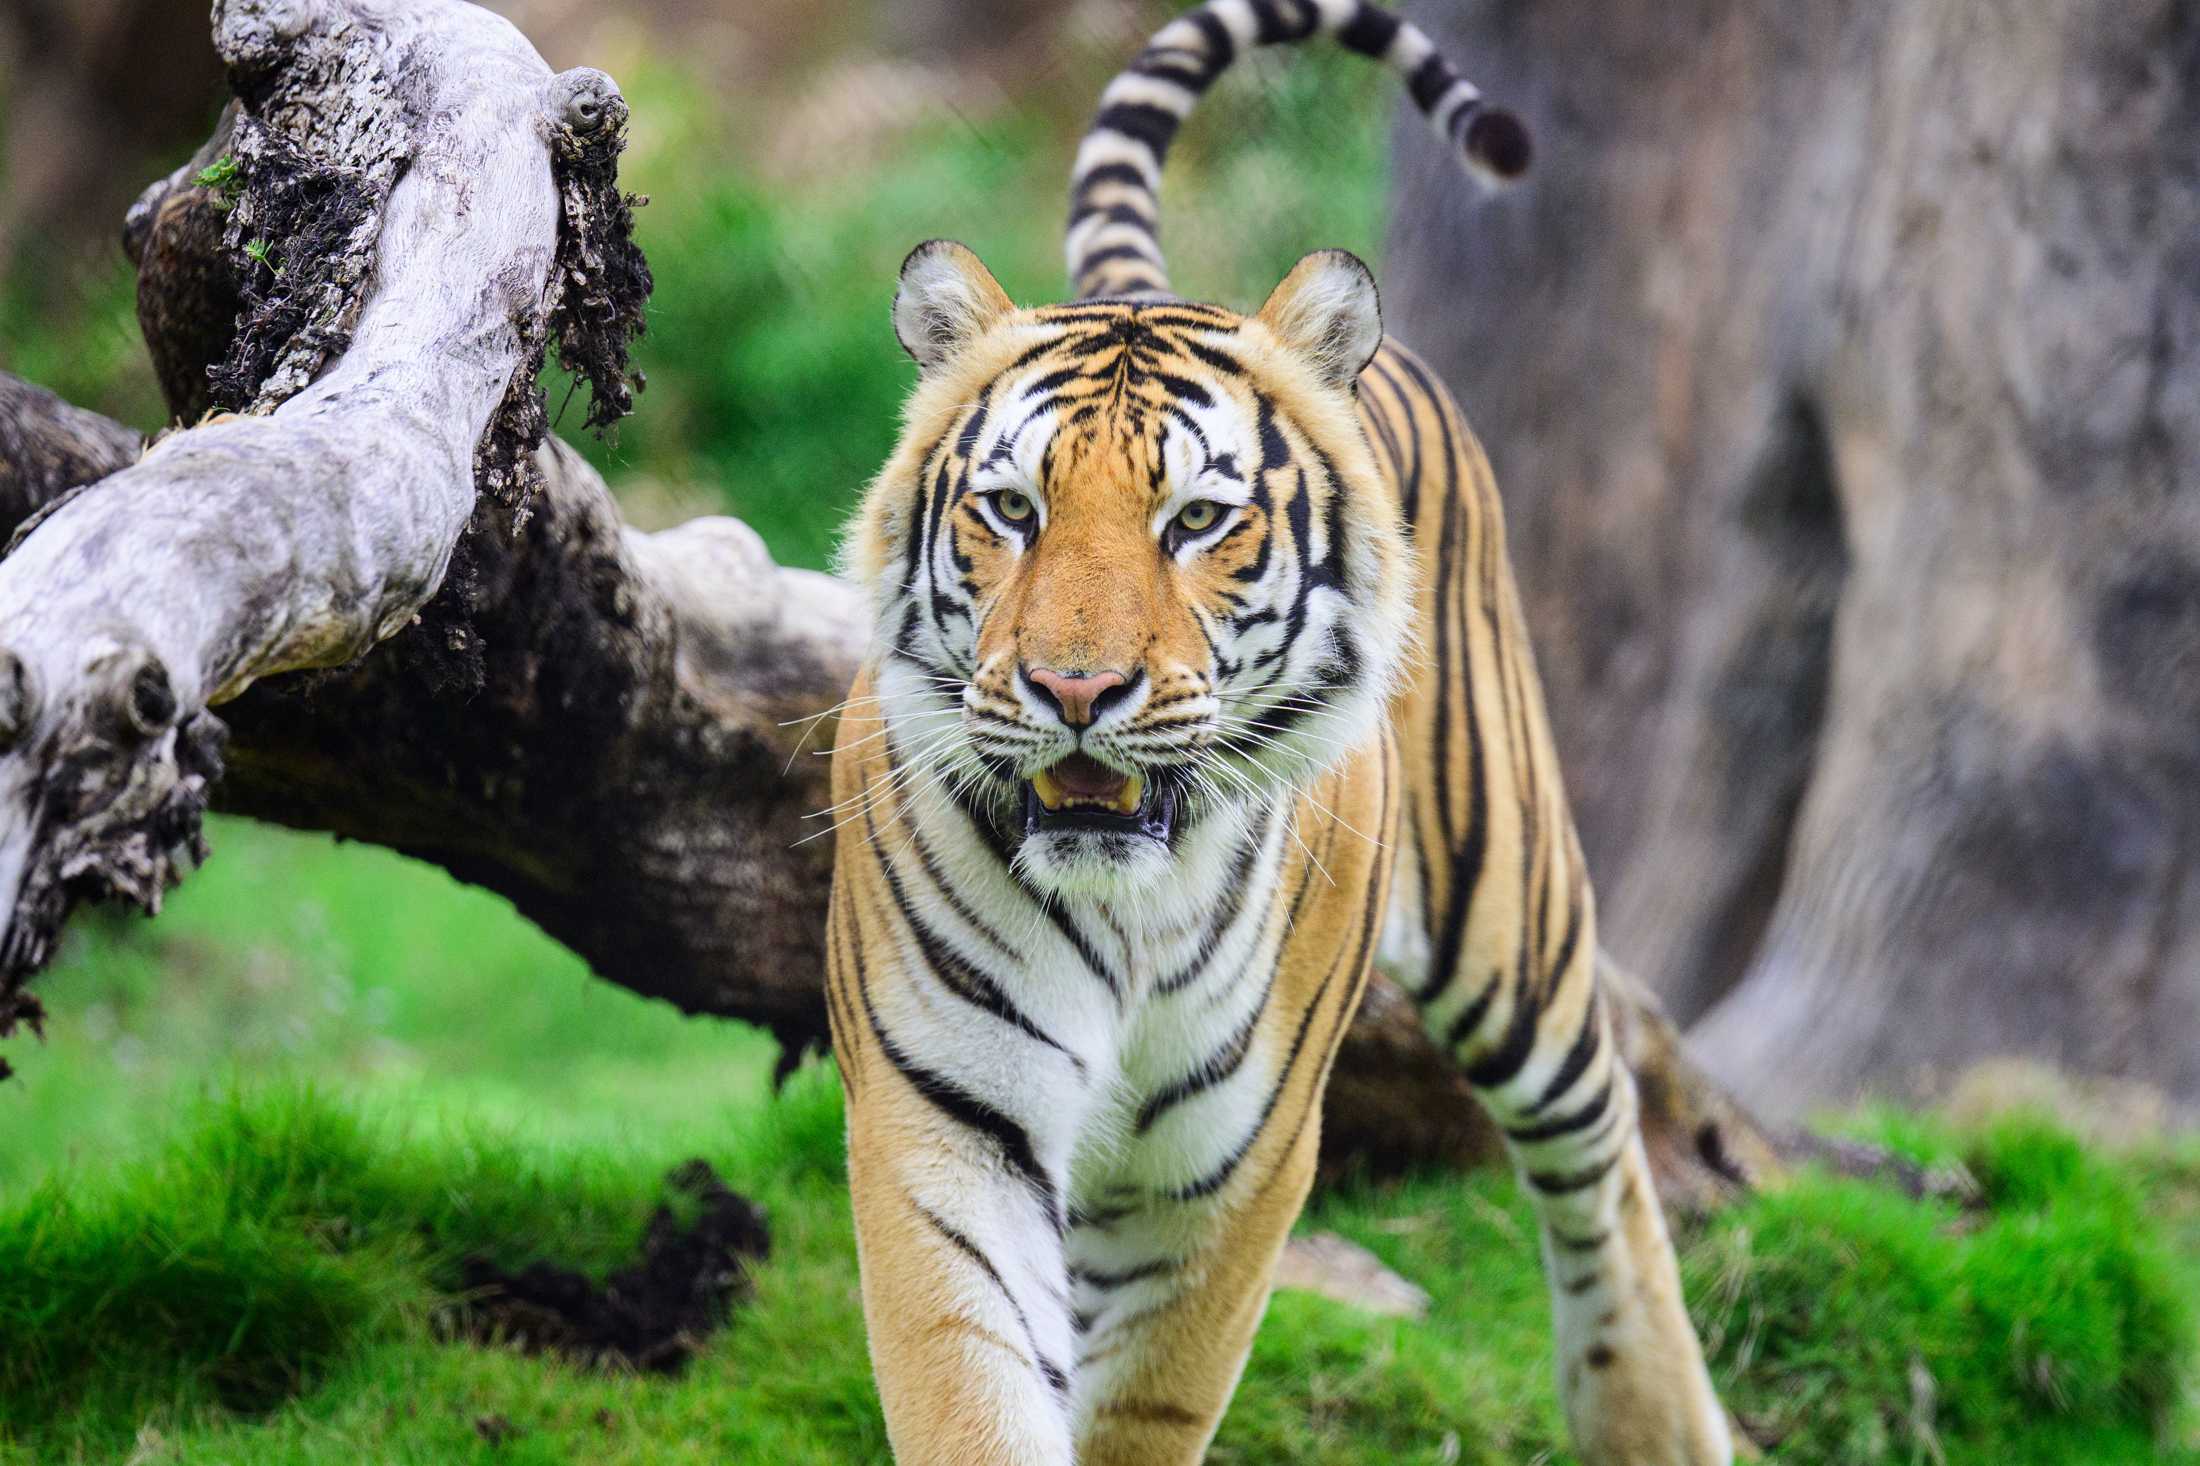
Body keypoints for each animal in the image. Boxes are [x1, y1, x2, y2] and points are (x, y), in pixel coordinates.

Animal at [827, 2, 1733, 1461]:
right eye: (1013, 509)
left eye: (1196, 519)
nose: (1073, 690)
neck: (1126, 913)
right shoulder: (948, 1126)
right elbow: (979, 1387)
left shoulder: (1230, 1166)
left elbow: (1149, 1402)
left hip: (1511, 916)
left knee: (1602, 1152)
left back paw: (1650, 1416)